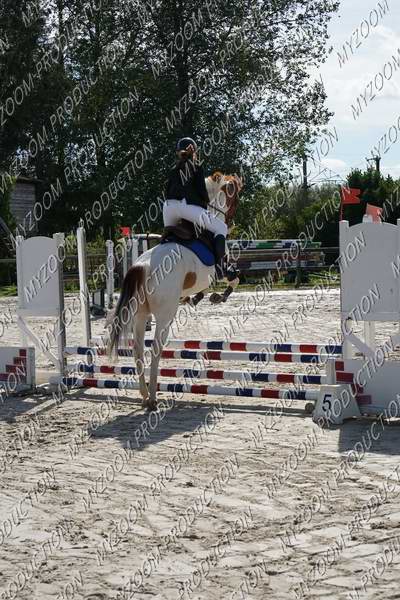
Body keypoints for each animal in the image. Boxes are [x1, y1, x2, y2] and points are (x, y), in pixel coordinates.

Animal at [106, 172, 242, 410]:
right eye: (234, 195)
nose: (232, 221)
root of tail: (141, 266)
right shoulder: (219, 270)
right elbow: (234, 278)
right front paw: (219, 297)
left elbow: (202, 290)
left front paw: (194, 298)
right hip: (164, 315)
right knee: (155, 349)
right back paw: (153, 398)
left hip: (140, 314)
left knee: (138, 349)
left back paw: (144, 394)